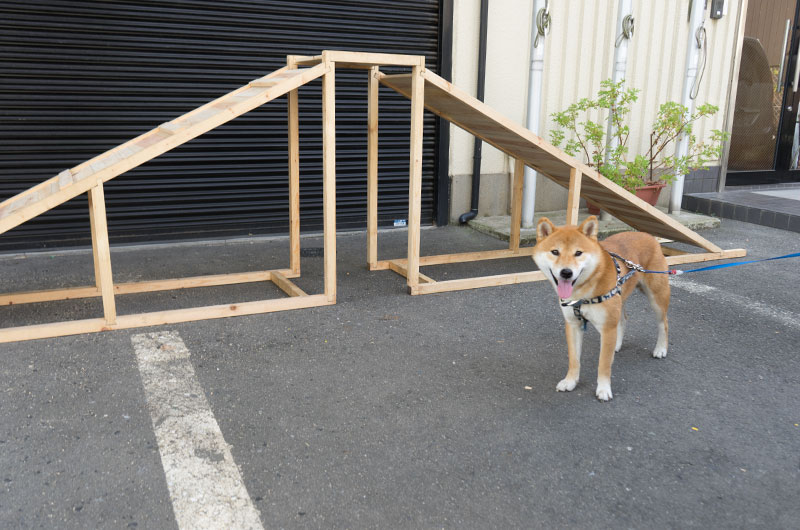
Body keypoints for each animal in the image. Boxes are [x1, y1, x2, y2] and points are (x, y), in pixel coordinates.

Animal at [536, 214, 672, 400]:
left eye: (578, 253)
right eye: (555, 252)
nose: (566, 272)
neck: (583, 292)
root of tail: (647, 235)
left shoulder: (607, 328)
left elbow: (604, 363)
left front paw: (604, 389)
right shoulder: (573, 324)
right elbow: (574, 359)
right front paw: (570, 381)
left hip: (656, 297)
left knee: (663, 323)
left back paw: (660, 349)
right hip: (619, 299)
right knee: (623, 319)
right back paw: (617, 345)